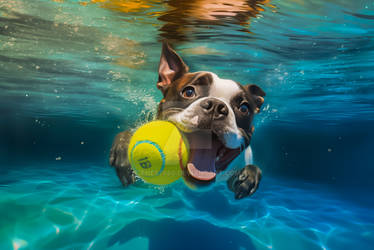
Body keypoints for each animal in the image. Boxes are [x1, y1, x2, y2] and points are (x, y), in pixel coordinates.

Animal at [109, 42, 264, 199]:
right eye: (188, 92)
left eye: (244, 108)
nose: (216, 106)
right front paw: (123, 153)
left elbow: (254, 169)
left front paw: (249, 176)